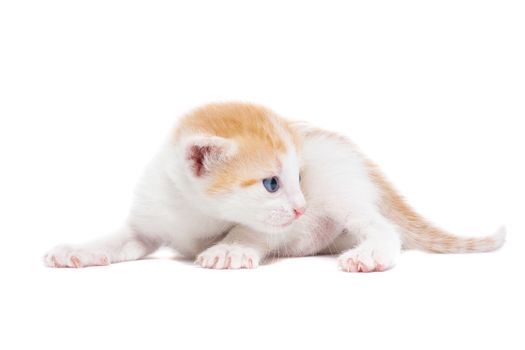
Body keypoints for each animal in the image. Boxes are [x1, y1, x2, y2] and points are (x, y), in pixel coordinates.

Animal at [44, 102, 504, 272]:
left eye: (299, 177)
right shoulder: (151, 214)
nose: (301, 206)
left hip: (339, 188)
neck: (198, 211)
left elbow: (250, 231)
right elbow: (120, 238)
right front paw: (76, 250)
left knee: (382, 227)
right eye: (270, 183)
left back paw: (370, 254)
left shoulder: (285, 224)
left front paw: (229, 248)